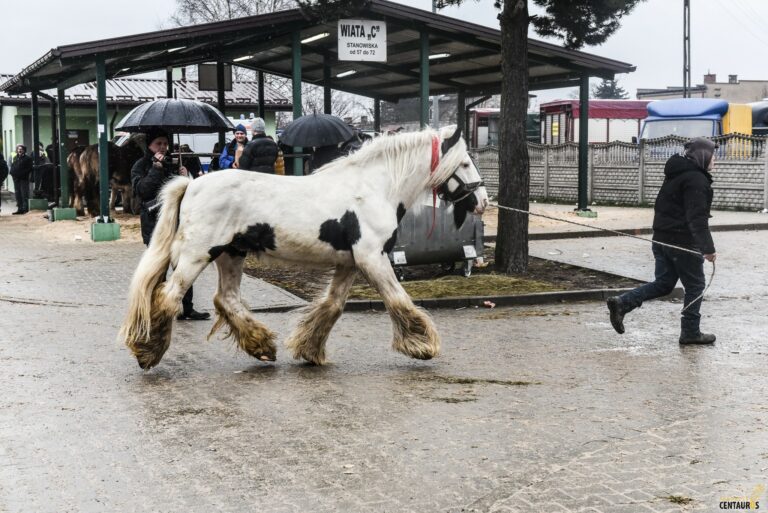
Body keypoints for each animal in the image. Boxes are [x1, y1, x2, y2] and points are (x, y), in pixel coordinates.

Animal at [121, 127, 492, 368]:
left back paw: (262, 346)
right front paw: (421, 344)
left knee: (226, 299)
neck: (374, 187)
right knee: (170, 297)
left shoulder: (350, 263)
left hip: (232, 254)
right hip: (198, 255)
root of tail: (191, 184)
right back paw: (147, 351)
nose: (483, 201)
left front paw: (309, 349)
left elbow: (332, 306)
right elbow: (398, 299)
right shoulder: (372, 258)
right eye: (464, 163)